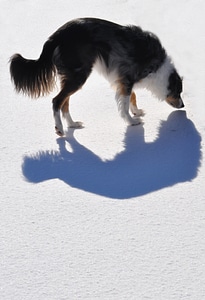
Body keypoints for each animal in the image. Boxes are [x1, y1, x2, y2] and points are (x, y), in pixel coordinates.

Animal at [9, 17, 184, 136]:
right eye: (178, 92)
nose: (182, 105)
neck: (159, 68)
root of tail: (56, 36)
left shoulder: (123, 78)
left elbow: (132, 97)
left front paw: (136, 111)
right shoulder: (127, 78)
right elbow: (125, 103)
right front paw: (132, 121)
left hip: (71, 76)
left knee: (65, 102)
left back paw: (72, 124)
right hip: (79, 75)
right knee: (57, 100)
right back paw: (60, 129)